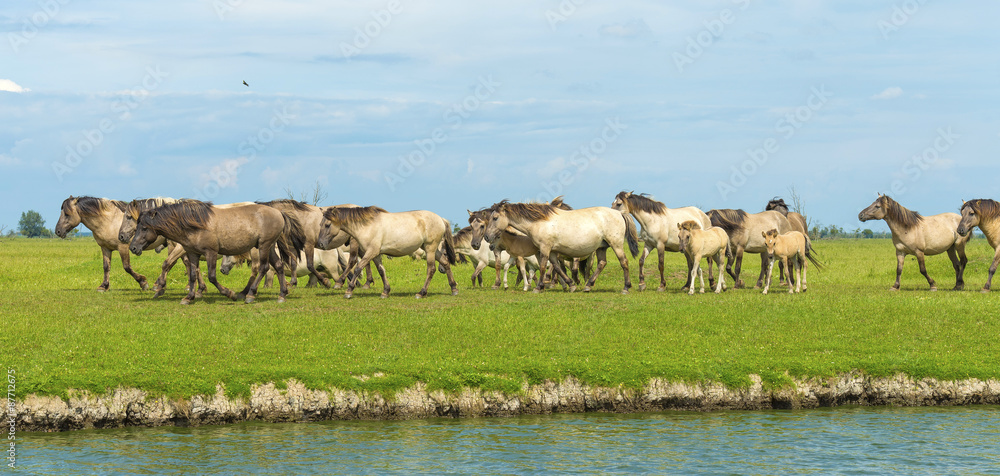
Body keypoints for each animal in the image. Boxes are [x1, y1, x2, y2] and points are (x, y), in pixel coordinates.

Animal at [129, 200, 302, 304]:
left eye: (144, 228)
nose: (133, 247)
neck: (195, 225)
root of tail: (279, 213)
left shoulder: (210, 252)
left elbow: (212, 276)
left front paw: (229, 293)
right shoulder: (192, 253)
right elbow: (193, 275)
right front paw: (189, 297)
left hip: (263, 246)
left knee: (263, 268)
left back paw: (250, 295)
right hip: (269, 246)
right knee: (279, 266)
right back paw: (282, 294)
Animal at [317, 206, 458, 299]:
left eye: (327, 225)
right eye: (320, 225)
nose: (320, 244)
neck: (367, 226)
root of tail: (441, 219)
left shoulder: (371, 252)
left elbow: (358, 268)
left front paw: (349, 291)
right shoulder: (376, 254)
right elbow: (381, 271)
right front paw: (385, 291)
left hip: (430, 249)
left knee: (431, 269)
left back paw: (421, 292)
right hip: (432, 249)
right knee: (445, 263)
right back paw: (454, 288)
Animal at [484, 201, 639, 294]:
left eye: (495, 218)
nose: (486, 237)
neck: (539, 222)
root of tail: (619, 213)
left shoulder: (544, 248)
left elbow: (543, 266)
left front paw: (539, 287)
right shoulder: (552, 251)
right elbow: (557, 267)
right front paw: (571, 285)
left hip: (616, 244)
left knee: (624, 262)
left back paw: (626, 287)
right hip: (601, 247)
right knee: (602, 263)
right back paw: (588, 285)